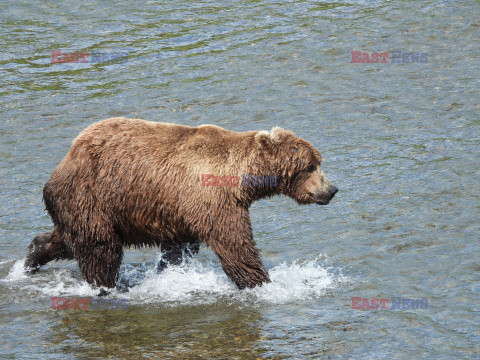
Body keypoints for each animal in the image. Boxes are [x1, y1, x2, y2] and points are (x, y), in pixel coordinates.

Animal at [23, 118, 338, 290]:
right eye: (310, 166)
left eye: (318, 162)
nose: (332, 189)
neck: (241, 180)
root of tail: (64, 161)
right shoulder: (211, 200)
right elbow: (235, 244)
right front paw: (262, 282)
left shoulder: (179, 213)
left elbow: (178, 249)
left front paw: (170, 273)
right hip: (91, 196)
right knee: (99, 248)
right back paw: (106, 286)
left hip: (86, 207)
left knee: (67, 239)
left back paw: (31, 260)